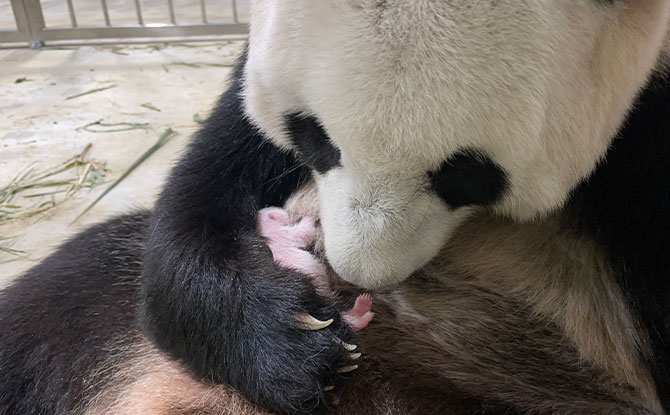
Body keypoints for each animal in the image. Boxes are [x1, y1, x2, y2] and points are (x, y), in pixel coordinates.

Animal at [1, 0, 670, 414]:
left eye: (466, 176)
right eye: (313, 136)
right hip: (99, 326)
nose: (353, 276)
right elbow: (204, 194)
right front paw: (292, 348)